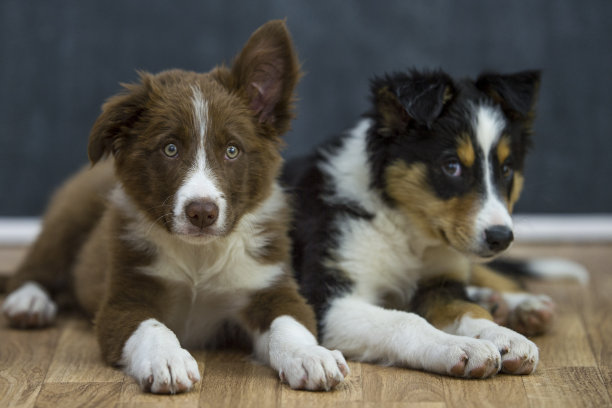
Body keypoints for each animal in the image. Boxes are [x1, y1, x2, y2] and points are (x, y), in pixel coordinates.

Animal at [2, 20, 350, 394]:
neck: (200, 256)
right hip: (71, 212)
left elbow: (290, 323)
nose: (202, 213)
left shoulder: (269, 285)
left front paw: (312, 355)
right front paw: (167, 360)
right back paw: (28, 302)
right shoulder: (124, 298)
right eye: (170, 149)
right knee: (38, 264)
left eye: (232, 150)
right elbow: (152, 328)